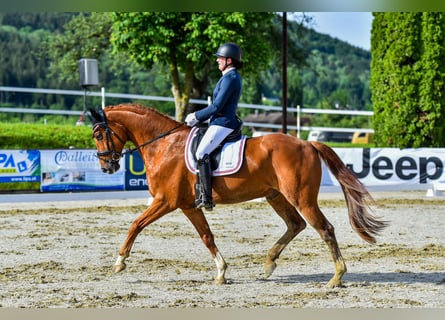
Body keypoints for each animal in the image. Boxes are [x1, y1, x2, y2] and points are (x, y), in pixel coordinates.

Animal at [89, 103, 386, 288]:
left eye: (99, 133)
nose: (106, 167)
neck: (164, 144)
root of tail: (307, 143)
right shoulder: (188, 205)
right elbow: (207, 236)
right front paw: (221, 272)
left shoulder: (166, 201)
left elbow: (135, 224)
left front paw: (119, 263)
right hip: (276, 196)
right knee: (296, 224)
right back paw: (268, 264)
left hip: (301, 198)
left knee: (324, 229)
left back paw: (336, 277)